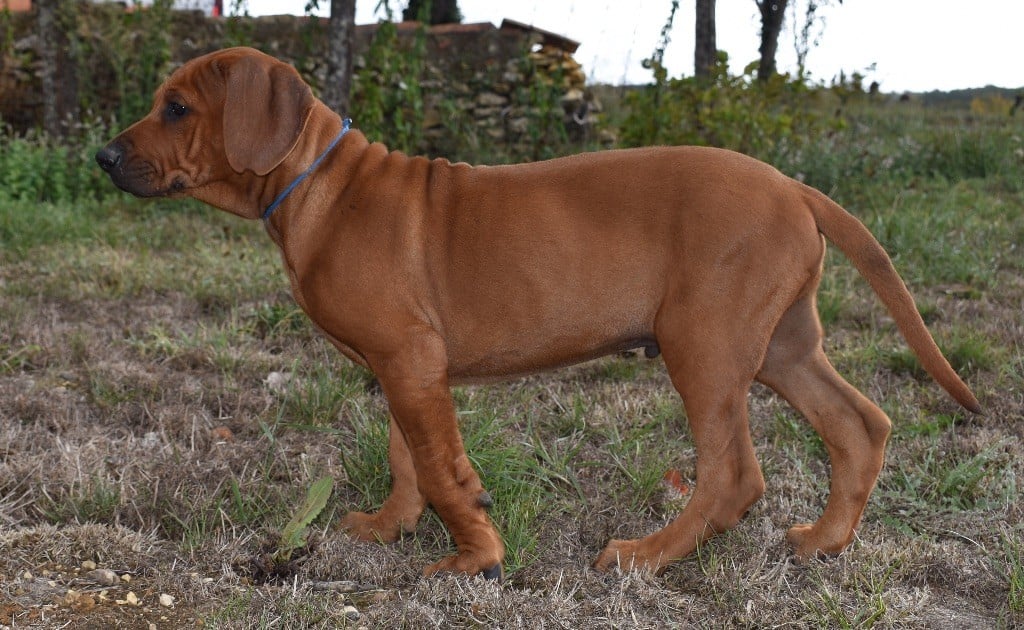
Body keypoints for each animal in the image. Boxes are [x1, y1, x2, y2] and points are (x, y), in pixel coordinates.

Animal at [97, 46, 983, 577]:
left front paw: (474, 559)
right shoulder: (402, 362)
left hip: (703, 343)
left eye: (177, 108)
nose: (102, 156)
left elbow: (443, 468)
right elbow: (406, 457)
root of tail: (796, 187)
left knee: (735, 473)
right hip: (781, 345)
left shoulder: (411, 359)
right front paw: (390, 528)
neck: (320, 186)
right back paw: (825, 542)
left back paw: (645, 555)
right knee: (860, 425)